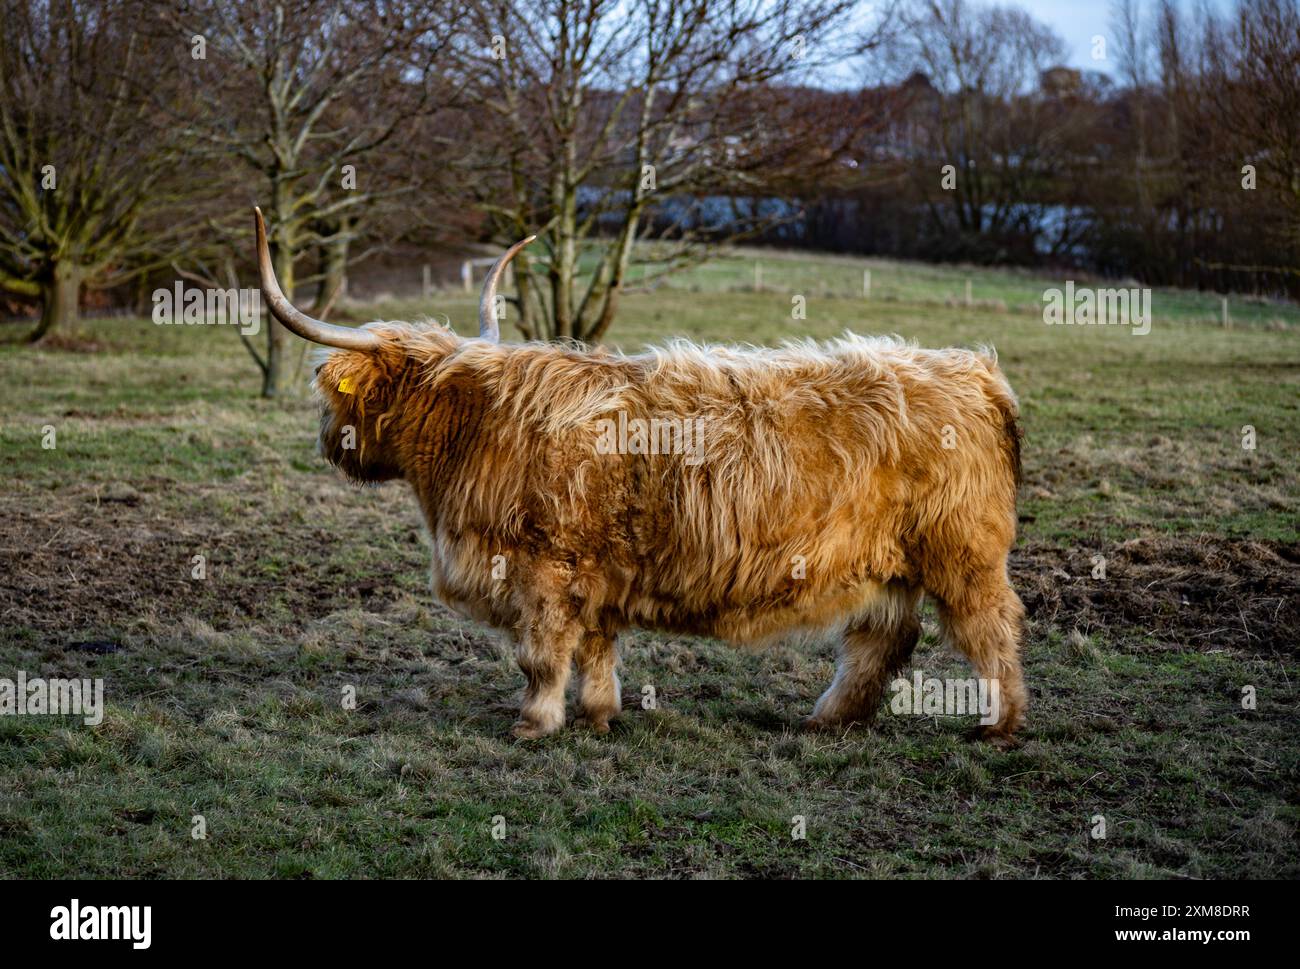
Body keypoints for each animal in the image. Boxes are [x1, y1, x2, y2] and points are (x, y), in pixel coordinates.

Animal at [252, 207, 1027, 743]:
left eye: (339, 398)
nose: (329, 446)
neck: (473, 425)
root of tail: (974, 369)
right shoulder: (595, 571)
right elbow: (597, 648)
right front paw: (598, 716)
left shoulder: (545, 567)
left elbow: (542, 655)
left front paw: (532, 723)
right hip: (887, 562)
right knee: (881, 641)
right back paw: (827, 719)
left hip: (962, 553)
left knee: (990, 628)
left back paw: (998, 725)